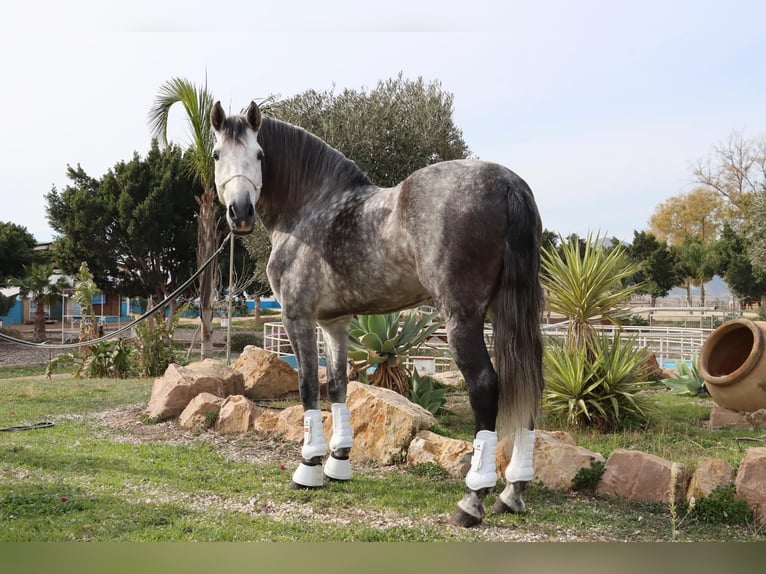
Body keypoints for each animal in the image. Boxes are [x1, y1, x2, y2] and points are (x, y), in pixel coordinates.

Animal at [212, 101, 544, 528]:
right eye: (217, 154)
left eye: (259, 154)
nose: (240, 213)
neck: (312, 207)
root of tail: (506, 182)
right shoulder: (334, 322)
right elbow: (337, 385)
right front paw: (338, 463)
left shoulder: (297, 316)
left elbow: (308, 387)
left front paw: (308, 468)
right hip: (509, 316)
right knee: (529, 383)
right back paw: (513, 491)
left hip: (462, 318)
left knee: (485, 387)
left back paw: (472, 499)